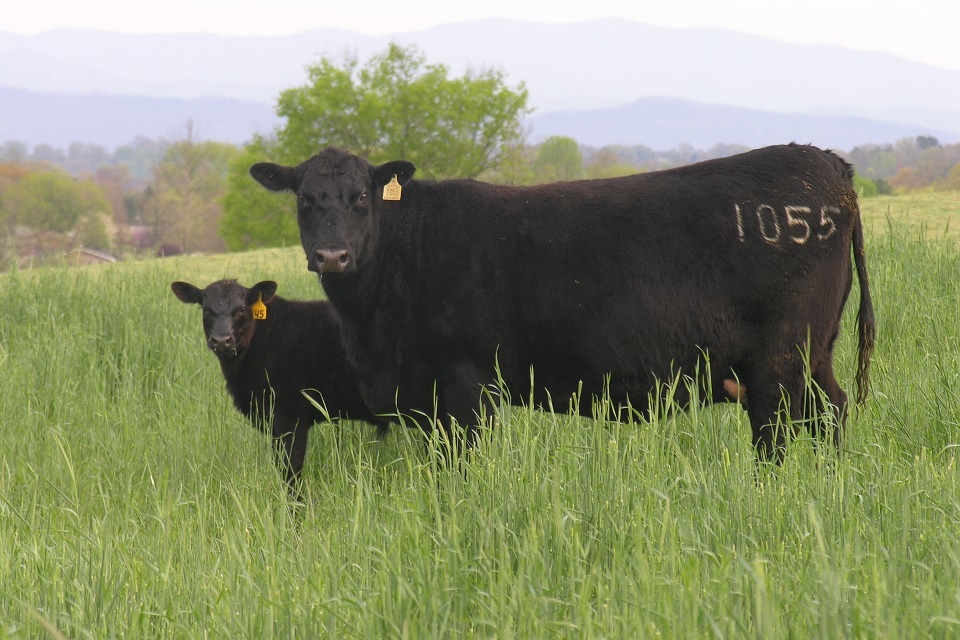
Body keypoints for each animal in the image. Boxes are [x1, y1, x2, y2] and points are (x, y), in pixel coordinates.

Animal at [249, 144, 876, 464]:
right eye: (304, 200)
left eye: (361, 197)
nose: (332, 255)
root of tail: (826, 164)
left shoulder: (465, 384)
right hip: (815, 351)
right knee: (832, 410)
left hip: (779, 355)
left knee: (778, 427)